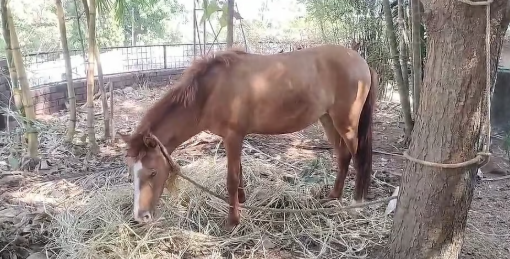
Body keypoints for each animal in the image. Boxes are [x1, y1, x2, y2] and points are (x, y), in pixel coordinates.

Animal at [117, 43, 376, 229]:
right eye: (131, 171)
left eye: (153, 172)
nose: (140, 217)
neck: (209, 92)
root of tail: (361, 61)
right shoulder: (234, 138)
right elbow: (239, 173)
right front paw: (241, 202)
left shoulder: (233, 136)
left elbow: (231, 179)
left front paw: (233, 221)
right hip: (328, 120)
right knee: (343, 156)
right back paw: (333, 196)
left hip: (347, 124)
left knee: (359, 159)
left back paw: (356, 204)